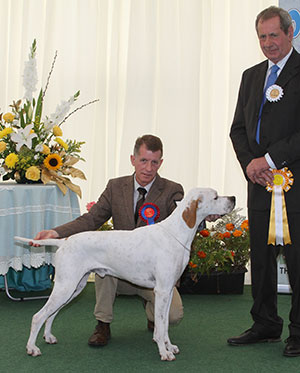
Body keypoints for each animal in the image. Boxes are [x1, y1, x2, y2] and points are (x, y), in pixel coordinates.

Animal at [14, 186, 234, 360]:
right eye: (215, 196)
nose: (233, 198)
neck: (177, 233)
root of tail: (64, 241)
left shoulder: (169, 291)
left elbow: (164, 325)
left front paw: (169, 346)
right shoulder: (162, 291)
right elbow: (160, 326)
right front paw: (164, 352)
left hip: (74, 288)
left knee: (51, 314)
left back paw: (48, 337)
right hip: (65, 287)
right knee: (38, 316)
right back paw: (31, 348)